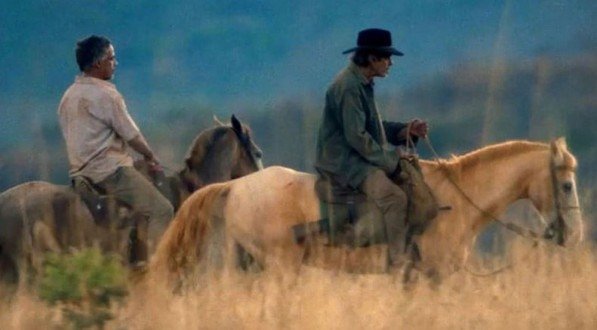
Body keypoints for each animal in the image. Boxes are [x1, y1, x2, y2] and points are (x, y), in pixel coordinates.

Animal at [152, 137, 584, 284]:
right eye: (566, 184)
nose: (576, 235)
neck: (458, 201)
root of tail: (236, 187)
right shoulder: (436, 275)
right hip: (279, 268)